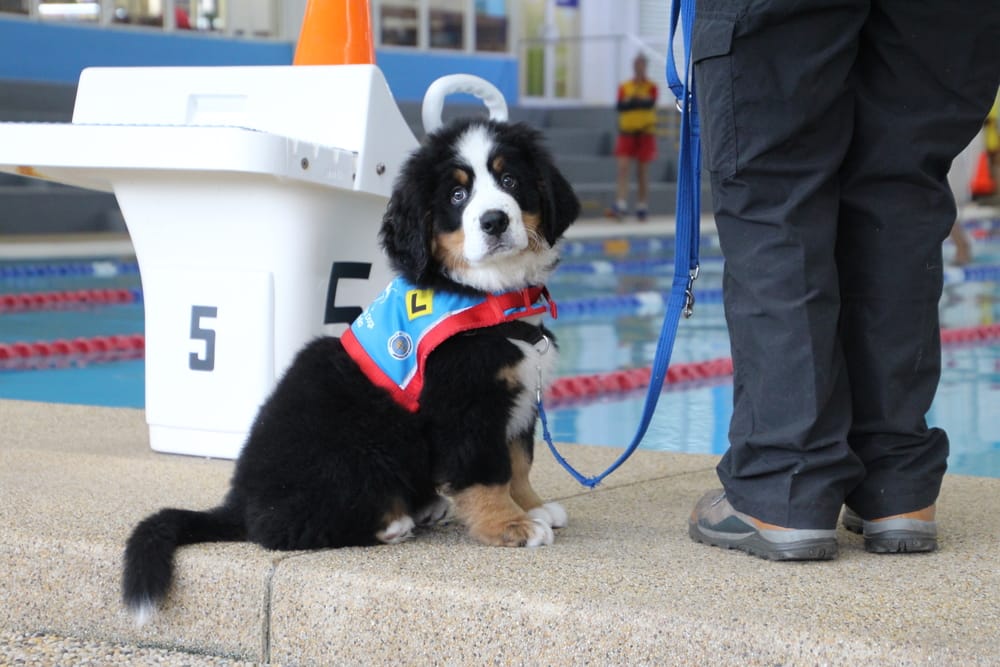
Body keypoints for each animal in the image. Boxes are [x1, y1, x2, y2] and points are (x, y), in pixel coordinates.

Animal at [122, 117, 584, 624]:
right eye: (458, 196)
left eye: (511, 181)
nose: (495, 220)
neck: (492, 299)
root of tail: (239, 501)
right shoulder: (467, 407)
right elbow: (489, 471)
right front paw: (510, 525)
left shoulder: (517, 400)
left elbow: (518, 463)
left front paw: (533, 508)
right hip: (357, 446)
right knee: (281, 528)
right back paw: (396, 521)